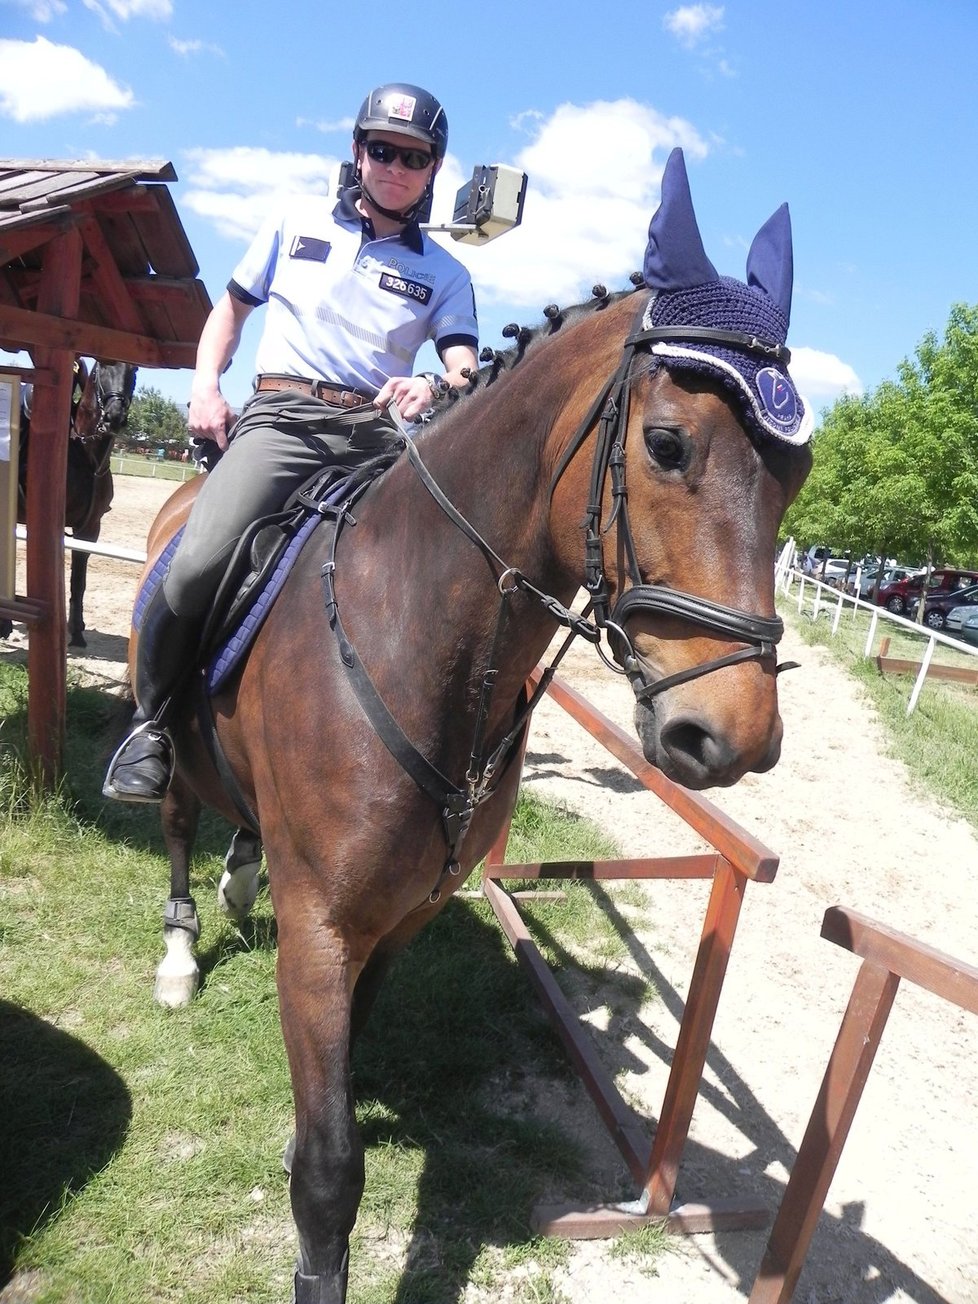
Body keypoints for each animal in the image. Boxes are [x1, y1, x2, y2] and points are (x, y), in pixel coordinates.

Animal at [132, 152, 818, 1304]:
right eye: (667, 444)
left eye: (798, 478)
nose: (731, 735)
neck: (418, 633)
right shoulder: (323, 928)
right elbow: (328, 1175)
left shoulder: (400, 914)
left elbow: (345, 1064)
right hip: (177, 742)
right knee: (179, 812)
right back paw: (183, 943)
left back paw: (239, 872)